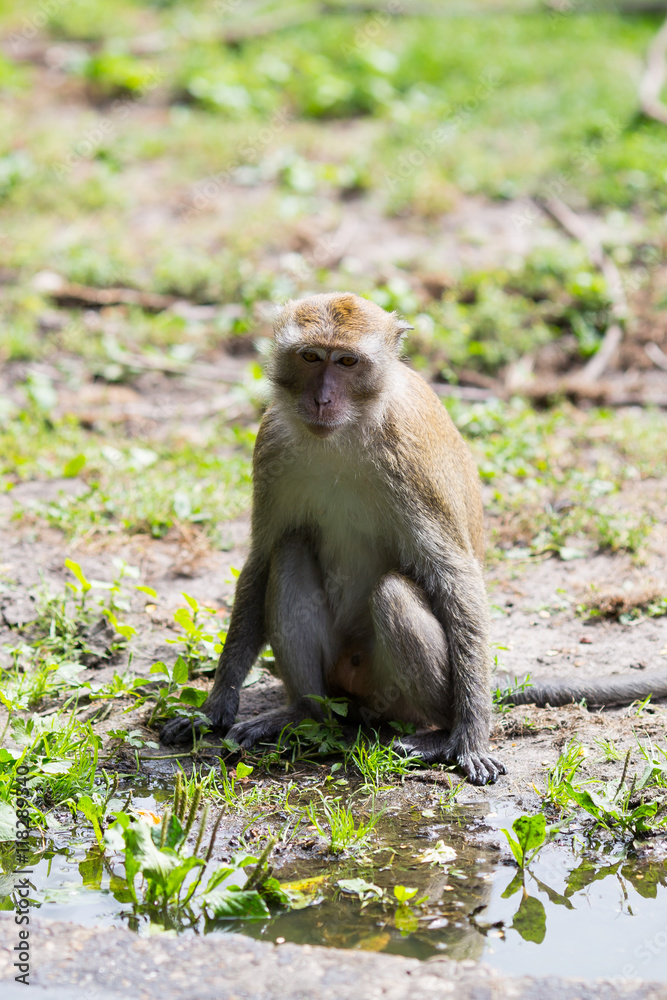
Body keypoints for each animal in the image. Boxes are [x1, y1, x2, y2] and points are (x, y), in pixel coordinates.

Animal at [160, 292, 667, 784]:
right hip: (338, 681)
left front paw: (472, 738)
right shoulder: (272, 444)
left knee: (394, 595)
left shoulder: (409, 456)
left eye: (347, 361)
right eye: (310, 357)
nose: (322, 399)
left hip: (394, 692)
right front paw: (214, 709)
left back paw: (440, 733)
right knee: (289, 553)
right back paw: (302, 713)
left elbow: (454, 575)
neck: (347, 431)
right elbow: (262, 557)